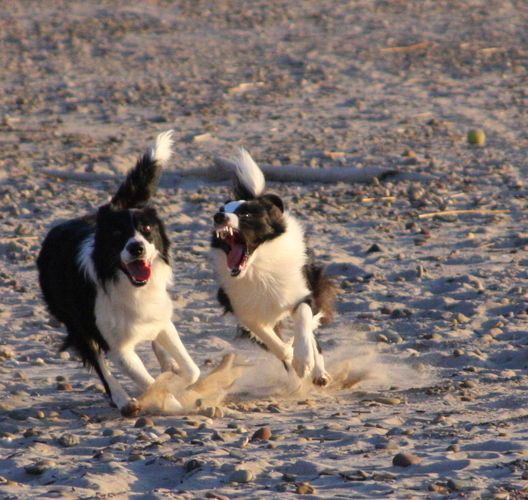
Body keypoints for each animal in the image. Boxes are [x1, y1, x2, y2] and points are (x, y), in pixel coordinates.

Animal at [37, 131, 200, 416]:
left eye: (147, 229)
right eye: (117, 234)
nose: (136, 248)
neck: (129, 286)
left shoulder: (160, 319)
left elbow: (192, 370)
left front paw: (172, 378)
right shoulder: (116, 346)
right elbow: (147, 380)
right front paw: (167, 398)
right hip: (77, 325)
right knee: (99, 364)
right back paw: (123, 400)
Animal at [211, 149, 336, 386]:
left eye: (246, 214)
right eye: (222, 210)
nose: (218, 216)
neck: (260, 267)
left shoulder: (303, 293)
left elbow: (304, 320)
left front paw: (303, 360)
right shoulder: (243, 308)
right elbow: (269, 338)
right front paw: (291, 358)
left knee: (312, 334)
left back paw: (319, 373)